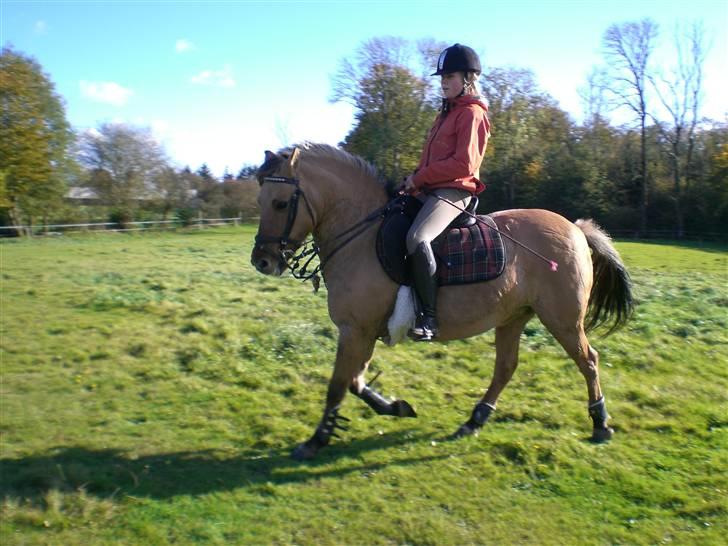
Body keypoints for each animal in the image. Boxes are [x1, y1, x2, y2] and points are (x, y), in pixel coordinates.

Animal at [249, 141, 632, 460]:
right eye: (259, 202)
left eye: (280, 203)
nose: (262, 261)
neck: (361, 235)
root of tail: (575, 228)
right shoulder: (362, 332)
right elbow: (355, 382)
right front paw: (397, 407)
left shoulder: (354, 331)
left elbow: (338, 387)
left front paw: (316, 440)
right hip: (513, 317)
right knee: (506, 368)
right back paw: (475, 420)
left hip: (563, 320)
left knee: (589, 361)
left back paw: (600, 423)